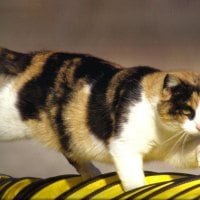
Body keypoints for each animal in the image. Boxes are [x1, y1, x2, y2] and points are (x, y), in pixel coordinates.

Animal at [0, 47, 200, 191]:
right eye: (188, 111)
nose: (199, 126)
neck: (165, 132)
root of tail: (30, 58)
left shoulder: (175, 151)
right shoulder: (124, 146)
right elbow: (134, 180)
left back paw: (92, 175)